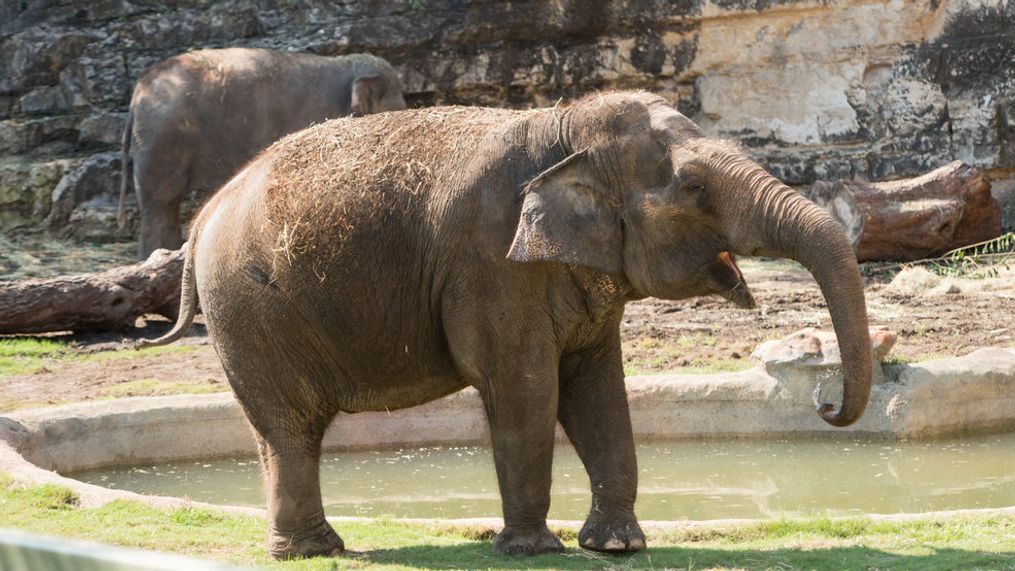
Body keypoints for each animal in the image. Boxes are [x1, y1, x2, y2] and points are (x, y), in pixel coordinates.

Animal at [145, 92, 872, 559]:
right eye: (693, 187)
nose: (828, 406)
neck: (560, 126)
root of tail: (203, 217)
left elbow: (597, 388)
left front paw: (618, 546)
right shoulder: (490, 261)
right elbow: (524, 386)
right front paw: (532, 549)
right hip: (249, 312)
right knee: (287, 427)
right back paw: (312, 551)